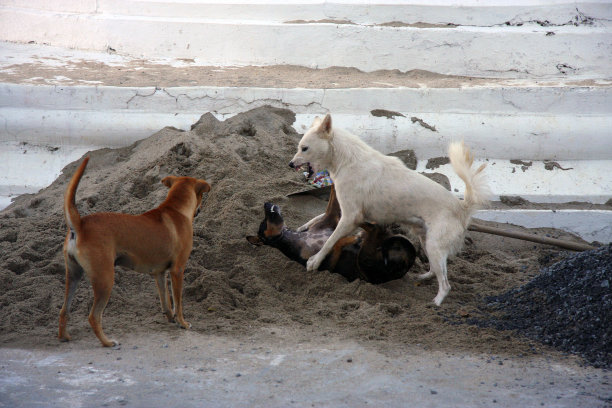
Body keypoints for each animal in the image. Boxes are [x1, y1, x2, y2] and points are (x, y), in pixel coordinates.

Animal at [58, 158, 210, 346]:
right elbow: (178, 302)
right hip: (105, 279)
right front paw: (182, 322)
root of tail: (79, 225)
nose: (199, 210)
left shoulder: (159, 273)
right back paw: (107, 342)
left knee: (64, 311)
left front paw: (170, 318)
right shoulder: (177, 270)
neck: (176, 210)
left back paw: (63, 337)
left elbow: (165, 300)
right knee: (93, 317)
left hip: (73, 275)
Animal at [290, 113, 490, 304]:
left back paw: (436, 302)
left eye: (304, 148)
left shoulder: (350, 217)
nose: (290, 164)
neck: (346, 160)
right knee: (435, 270)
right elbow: (323, 221)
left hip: (434, 246)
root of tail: (461, 207)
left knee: (446, 284)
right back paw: (424, 277)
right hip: (426, 239)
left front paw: (315, 261)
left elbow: (330, 241)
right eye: (299, 147)